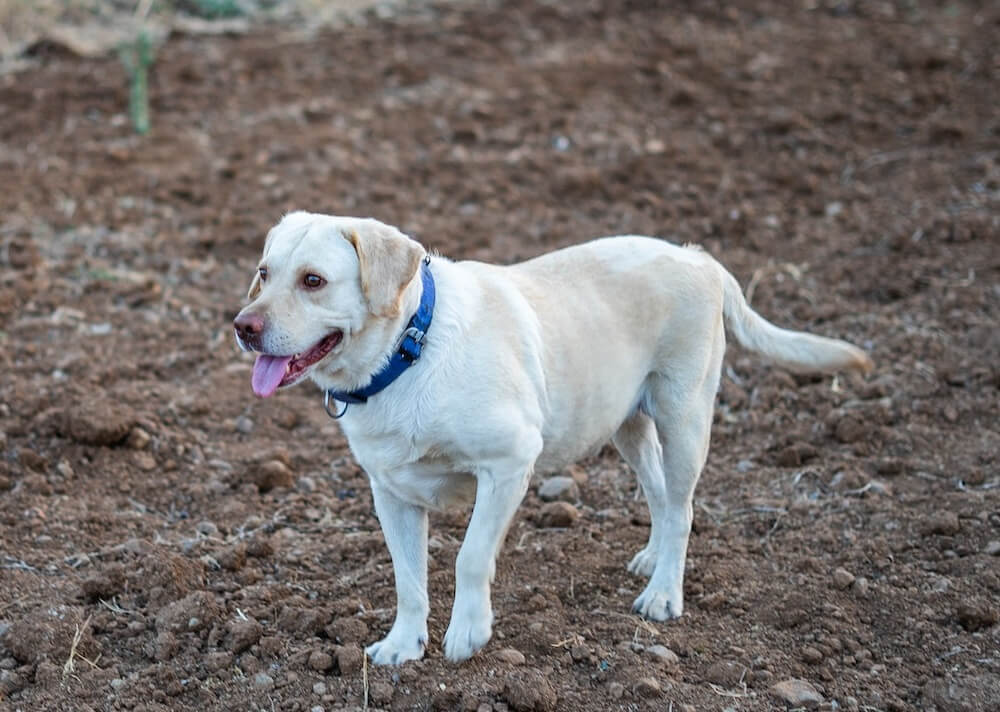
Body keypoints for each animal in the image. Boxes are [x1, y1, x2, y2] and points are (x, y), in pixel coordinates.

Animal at [232, 209, 868, 664]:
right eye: (264, 272)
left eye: (314, 281)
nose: (242, 326)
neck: (409, 351)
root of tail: (699, 259)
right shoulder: (390, 493)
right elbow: (408, 580)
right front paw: (403, 647)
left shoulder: (510, 464)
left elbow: (469, 557)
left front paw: (469, 634)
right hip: (626, 424)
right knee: (661, 496)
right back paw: (651, 558)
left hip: (684, 417)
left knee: (684, 507)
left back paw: (664, 594)